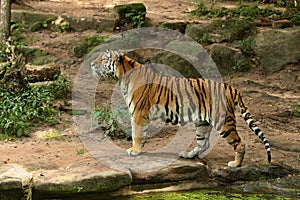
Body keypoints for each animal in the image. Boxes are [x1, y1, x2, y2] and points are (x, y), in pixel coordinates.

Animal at [90, 50, 270, 167]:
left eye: (104, 59)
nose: (91, 64)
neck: (122, 77)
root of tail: (229, 87)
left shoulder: (139, 113)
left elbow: (136, 134)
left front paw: (134, 150)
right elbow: (142, 134)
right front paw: (139, 149)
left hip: (223, 121)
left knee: (240, 143)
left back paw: (235, 163)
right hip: (202, 122)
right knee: (203, 142)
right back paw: (188, 155)